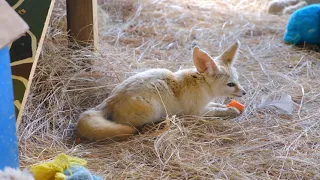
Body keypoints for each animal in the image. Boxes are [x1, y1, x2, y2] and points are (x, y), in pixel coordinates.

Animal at [76, 41, 246, 141]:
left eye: (238, 80)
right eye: (231, 84)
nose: (244, 93)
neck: (200, 83)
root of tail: (112, 98)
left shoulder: (205, 105)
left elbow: (217, 106)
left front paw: (228, 106)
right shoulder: (196, 112)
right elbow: (217, 111)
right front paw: (230, 111)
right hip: (152, 110)